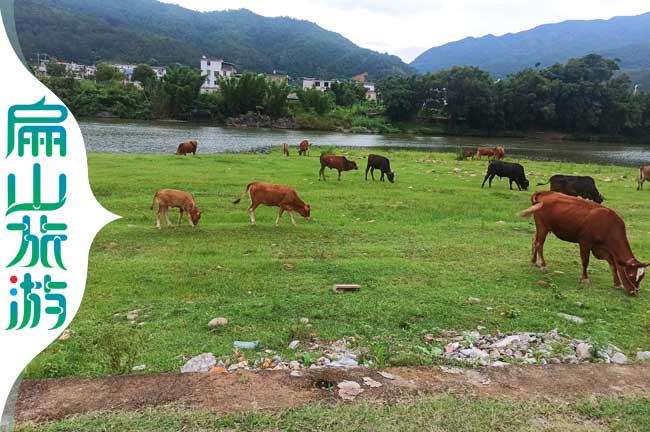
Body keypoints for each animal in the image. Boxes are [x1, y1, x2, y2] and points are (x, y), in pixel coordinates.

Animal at [512, 192, 644, 296]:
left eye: (641, 277)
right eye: (631, 275)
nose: (634, 292)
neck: (608, 225)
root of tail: (544, 193)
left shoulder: (602, 249)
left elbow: (613, 264)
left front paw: (617, 283)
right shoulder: (585, 243)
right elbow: (585, 261)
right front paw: (585, 279)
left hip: (541, 228)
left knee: (534, 240)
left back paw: (534, 261)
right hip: (543, 227)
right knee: (539, 244)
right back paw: (543, 266)